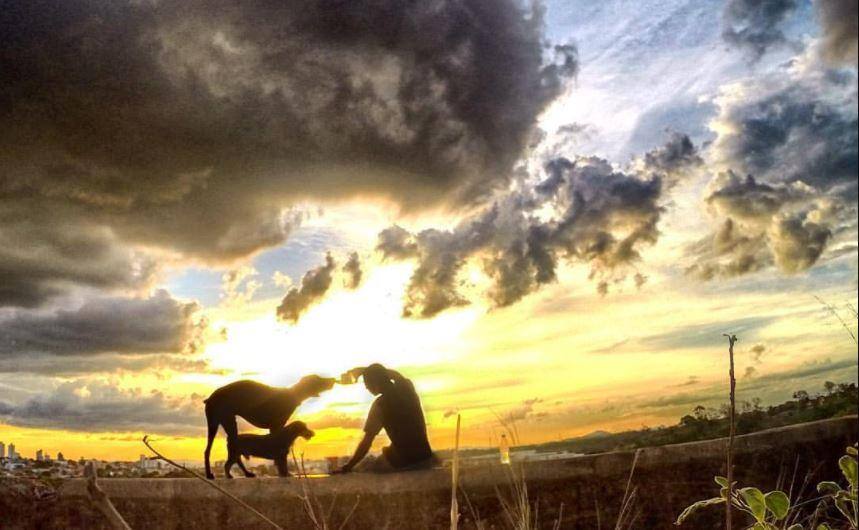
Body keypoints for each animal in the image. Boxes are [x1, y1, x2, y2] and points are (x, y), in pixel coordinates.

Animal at [203, 376, 334, 478]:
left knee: (226, 454)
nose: (333, 379)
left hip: (221, 423)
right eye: (319, 378)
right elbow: (278, 453)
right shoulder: (277, 426)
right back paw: (211, 474)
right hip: (223, 422)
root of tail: (209, 398)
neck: (291, 394)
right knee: (213, 452)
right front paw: (283, 472)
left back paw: (246, 473)